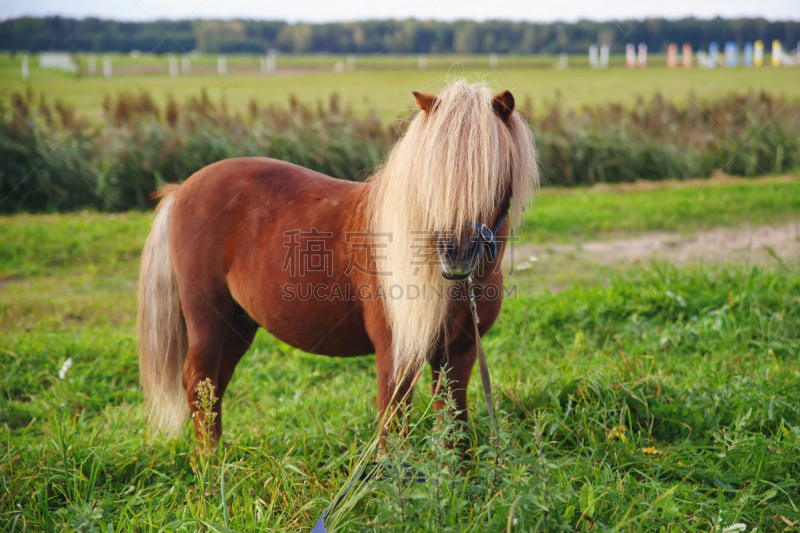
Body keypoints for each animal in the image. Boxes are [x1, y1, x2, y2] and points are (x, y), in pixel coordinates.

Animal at [138, 79, 540, 440]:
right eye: (427, 175)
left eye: (495, 171)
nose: (455, 255)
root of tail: (183, 188)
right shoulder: (395, 354)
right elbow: (393, 431)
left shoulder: (458, 353)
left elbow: (454, 427)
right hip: (208, 319)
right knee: (199, 382)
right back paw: (209, 466)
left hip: (239, 323)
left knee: (215, 387)